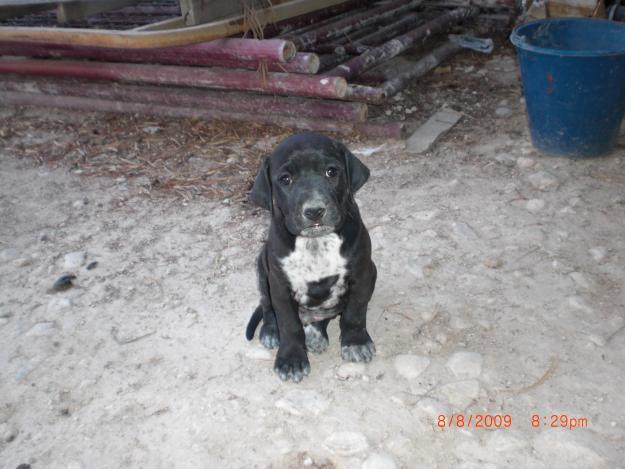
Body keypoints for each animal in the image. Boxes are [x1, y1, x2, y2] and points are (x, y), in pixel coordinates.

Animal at [246, 132, 378, 380]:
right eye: (285, 179)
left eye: (331, 172)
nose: (314, 211)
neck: (316, 242)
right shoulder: (280, 286)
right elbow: (289, 324)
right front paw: (291, 359)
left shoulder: (361, 274)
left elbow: (355, 312)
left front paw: (355, 342)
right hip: (262, 269)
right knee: (267, 306)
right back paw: (271, 331)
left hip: (372, 271)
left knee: (325, 316)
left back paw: (316, 334)